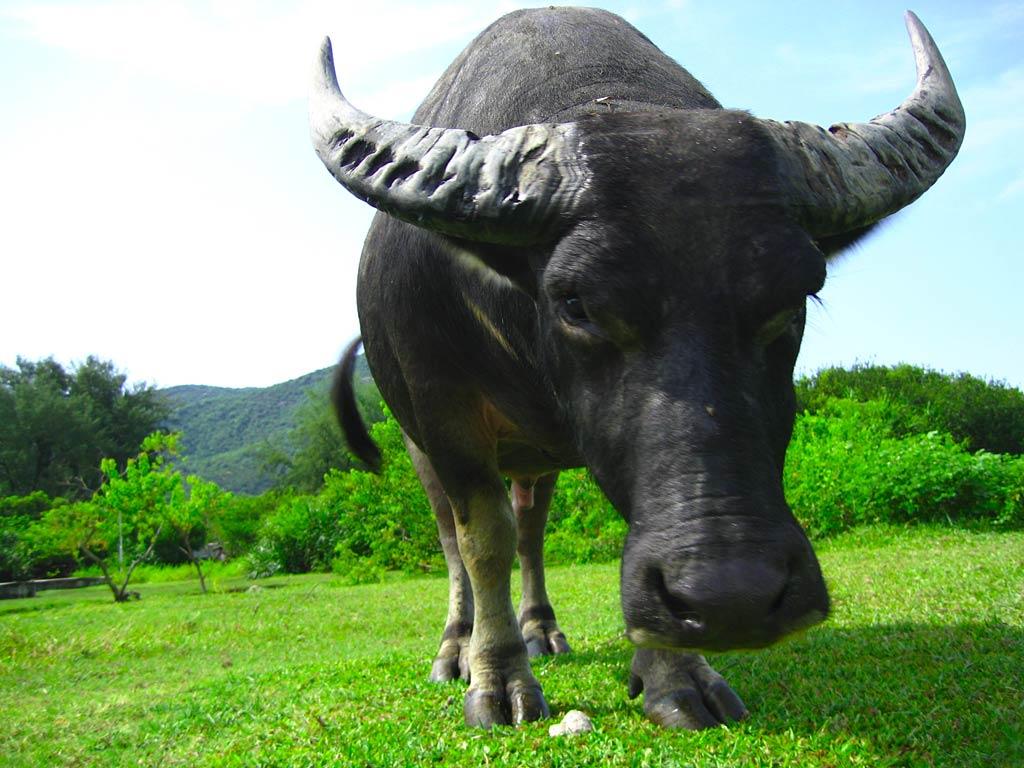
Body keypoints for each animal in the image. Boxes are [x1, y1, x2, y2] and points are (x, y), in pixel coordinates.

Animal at [309, 7, 964, 729]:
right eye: (575, 302)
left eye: (799, 296)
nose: (732, 594)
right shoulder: (443, 412)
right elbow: (482, 539)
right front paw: (498, 680)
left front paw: (677, 676)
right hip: (417, 441)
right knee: (458, 541)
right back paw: (458, 647)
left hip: (536, 460)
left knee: (532, 531)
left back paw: (543, 630)